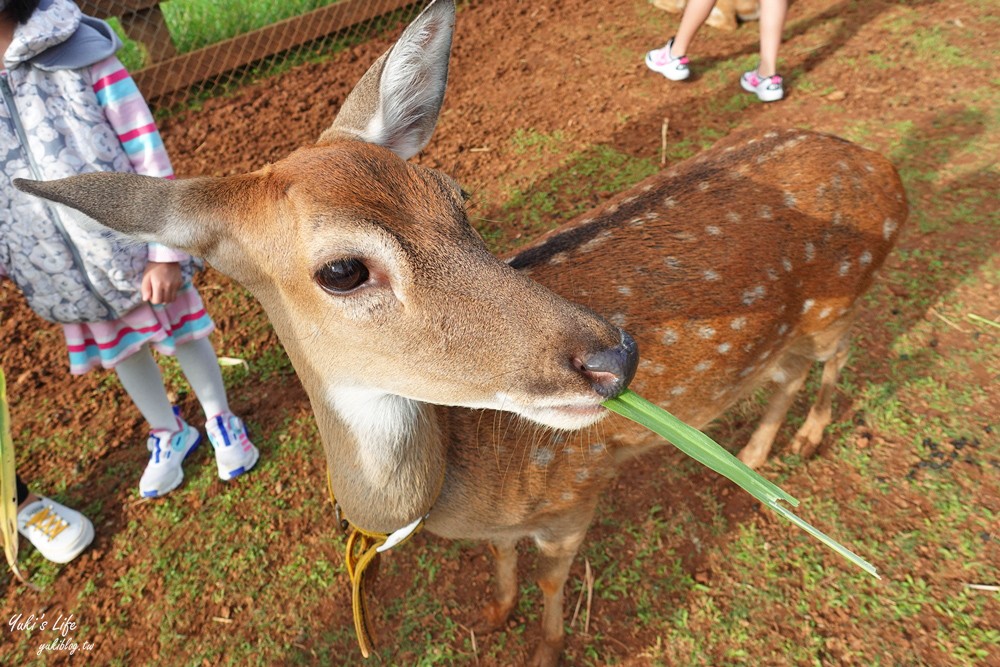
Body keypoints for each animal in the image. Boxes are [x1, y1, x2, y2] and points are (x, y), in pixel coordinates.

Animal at [13, 2, 908, 664]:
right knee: (785, 368)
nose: (616, 357)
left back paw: (803, 443)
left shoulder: (575, 496)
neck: (463, 484)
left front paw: (544, 645)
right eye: (343, 269)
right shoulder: (508, 524)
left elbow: (550, 582)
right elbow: (504, 566)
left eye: (456, 194)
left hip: (840, 296)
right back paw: (755, 451)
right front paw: (494, 614)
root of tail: (883, 168)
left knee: (841, 352)